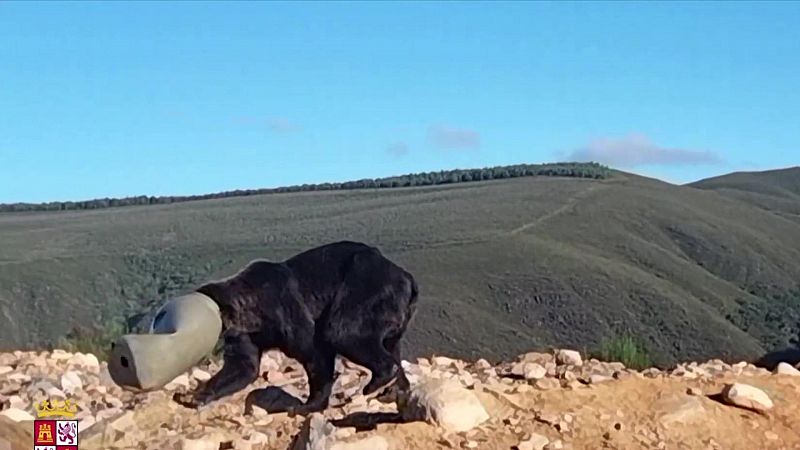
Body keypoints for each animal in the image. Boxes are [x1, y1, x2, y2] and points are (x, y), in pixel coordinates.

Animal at [170, 239, 418, 414]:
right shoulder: (246, 337)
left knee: (342, 331)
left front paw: (307, 405)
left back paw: (377, 381)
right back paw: (394, 390)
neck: (251, 313)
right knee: (390, 345)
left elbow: (315, 352)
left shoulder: (285, 308)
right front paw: (193, 395)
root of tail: (407, 278)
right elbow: (243, 367)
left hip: (365, 288)